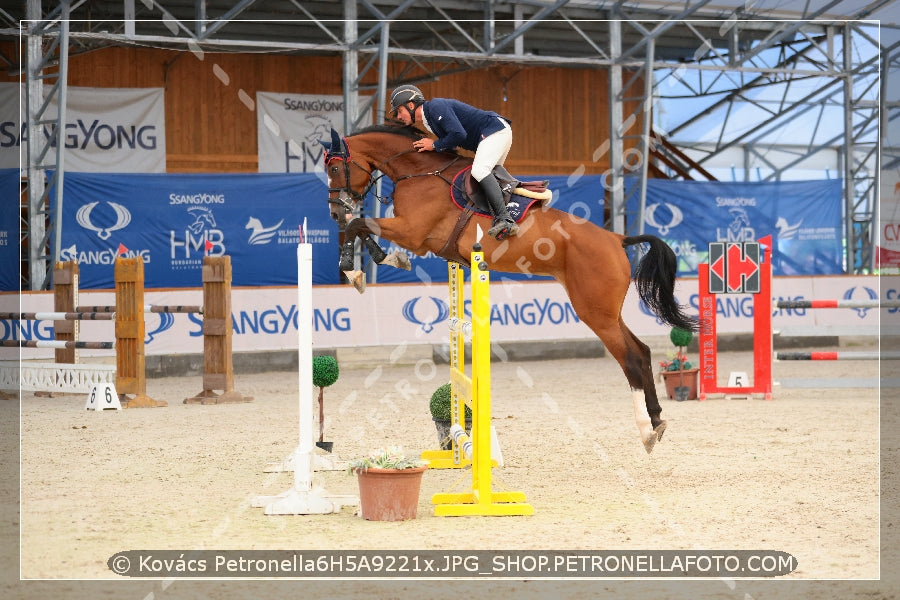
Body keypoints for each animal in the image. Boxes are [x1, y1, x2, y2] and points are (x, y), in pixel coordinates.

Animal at [324, 123, 696, 450]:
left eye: (333, 166)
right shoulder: (412, 234)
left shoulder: (412, 231)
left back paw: (646, 432)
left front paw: (356, 270)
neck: (420, 173)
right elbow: (362, 227)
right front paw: (375, 262)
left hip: (594, 312)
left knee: (630, 359)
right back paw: (657, 419)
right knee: (643, 352)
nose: (334, 212)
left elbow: (360, 225)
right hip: (606, 310)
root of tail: (617, 238)